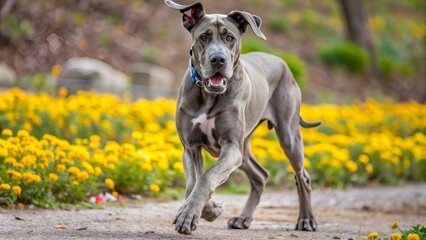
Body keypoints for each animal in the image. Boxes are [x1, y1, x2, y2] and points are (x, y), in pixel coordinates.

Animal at [166, 0, 320, 235]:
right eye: (204, 37)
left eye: (230, 37)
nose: (218, 59)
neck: (209, 94)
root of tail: (283, 62)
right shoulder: (191, 148)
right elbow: (194, 182)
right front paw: (204, 210)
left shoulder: (231, 147)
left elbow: (206, 177)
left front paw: (192, 213)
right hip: (244, 149)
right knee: (260, 176)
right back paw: (243, 218)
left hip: (288, 136)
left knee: (302, 176)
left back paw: (306, 220)